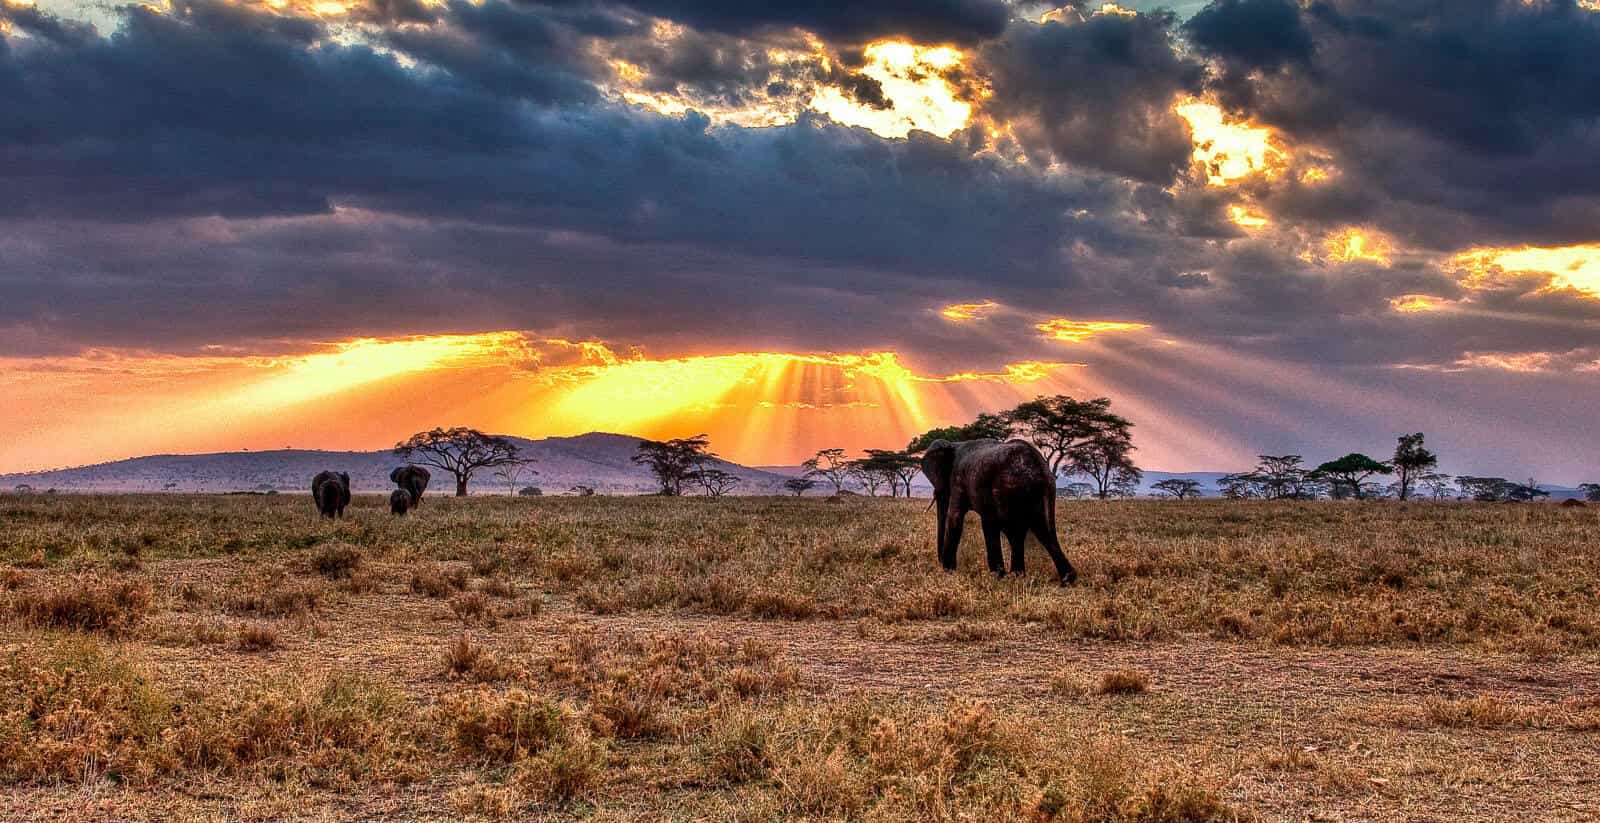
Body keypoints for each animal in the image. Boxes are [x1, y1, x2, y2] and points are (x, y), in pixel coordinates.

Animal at [921, 435, 1081, 582]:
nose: (940, 562)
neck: (954, 444)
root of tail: (1040, 468)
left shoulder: (958, 479)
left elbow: (955, 518)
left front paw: (949, 572)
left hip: (1010, 488)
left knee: (1015, 530)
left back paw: (1012, 576)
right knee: (1041, 529)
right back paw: (1062, 578)